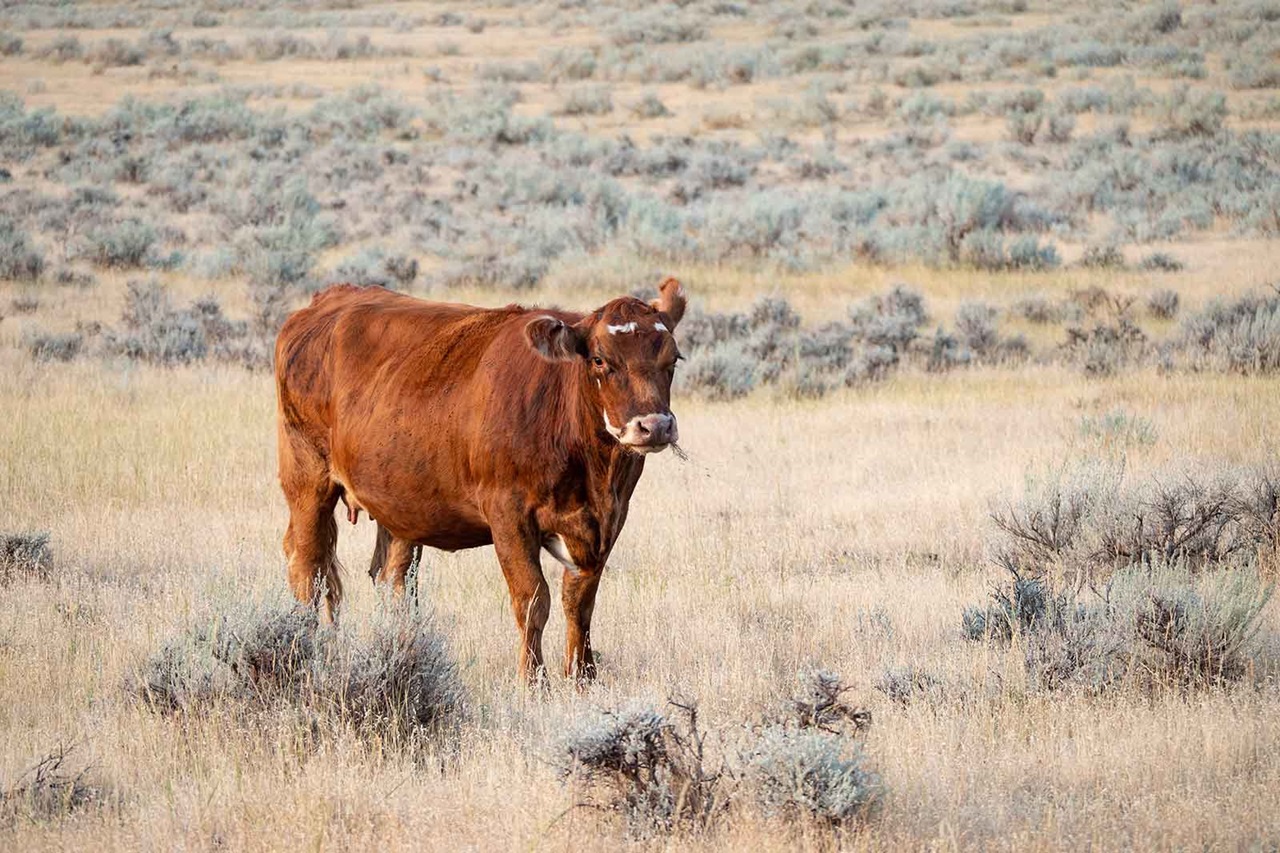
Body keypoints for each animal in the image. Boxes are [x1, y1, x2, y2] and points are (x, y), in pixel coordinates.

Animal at [274, 277, 687, 685]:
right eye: (601, 359)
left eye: (673, 359)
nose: (654, 425)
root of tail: (329, 299)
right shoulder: (509, 515)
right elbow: (533, 599)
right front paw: (533, 682)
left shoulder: (608, 519)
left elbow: (580, 603)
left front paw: (583, 678)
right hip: (307, 479)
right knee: (308, 568)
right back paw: (305, 647)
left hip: (399, 502)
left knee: (393, 579)